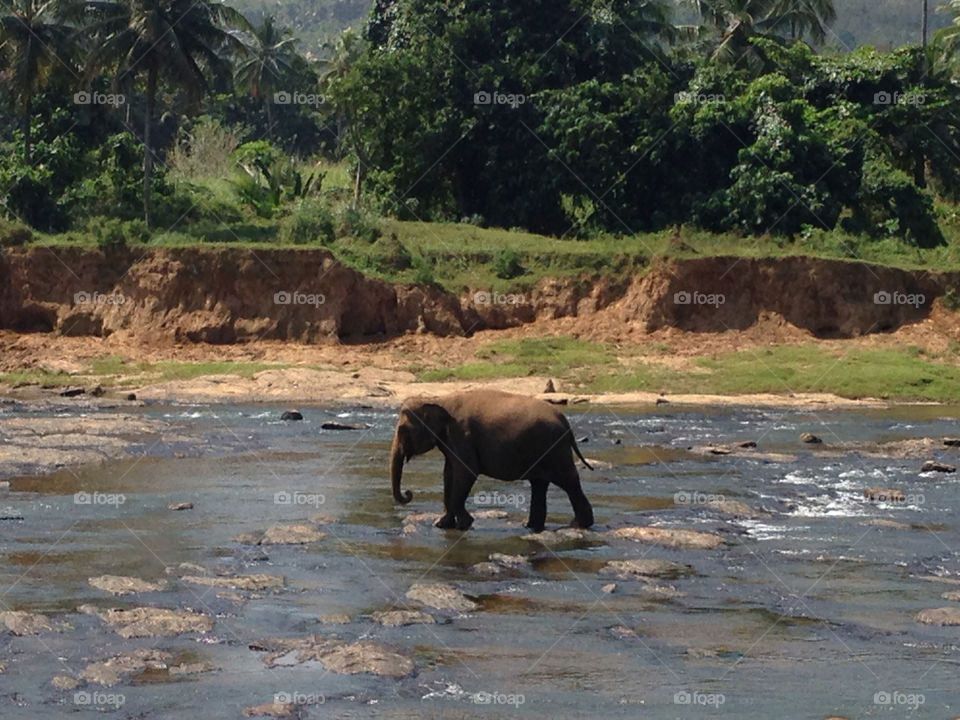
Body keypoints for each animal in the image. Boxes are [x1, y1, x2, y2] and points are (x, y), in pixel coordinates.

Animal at [389, 389, 595, 532]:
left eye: (402, 430)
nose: (408, 493)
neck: (439, 399)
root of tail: (566, 422)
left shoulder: (462, 435)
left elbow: (466, 473)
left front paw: (465, 524)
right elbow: (449, 473)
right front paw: (441, 525)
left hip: (554, 449)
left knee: (568, 481)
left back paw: (578, 525)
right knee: (539, 484)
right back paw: (530, 527)